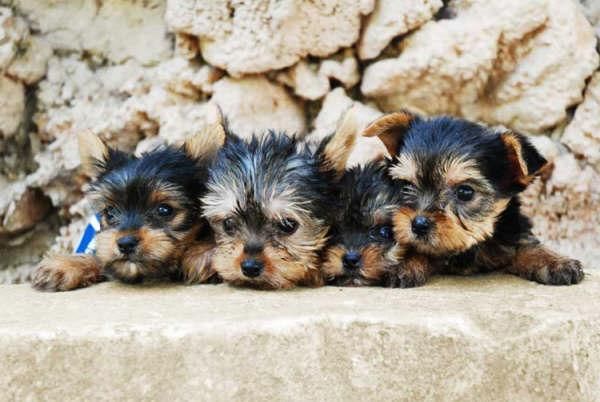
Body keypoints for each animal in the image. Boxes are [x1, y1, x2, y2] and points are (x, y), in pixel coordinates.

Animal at [31, 126, 223, 292]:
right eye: (110, 212)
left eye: (164, 210)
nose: (125, 243)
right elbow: (103, 257)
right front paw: (67, 265)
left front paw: (203, 253)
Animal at [364, 113, 584, 288]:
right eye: (405, 185)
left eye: (465, 193)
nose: (418, 224)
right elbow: (415, 248)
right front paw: (402, 263)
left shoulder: (512, 232)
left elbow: (526, 246)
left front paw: (555, 261)